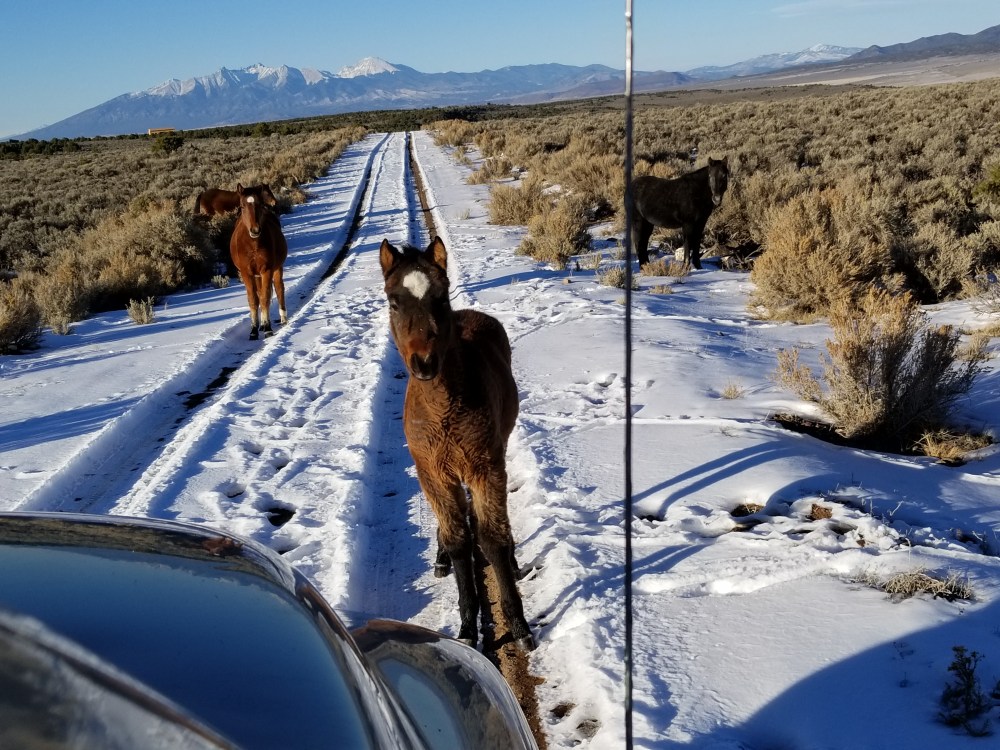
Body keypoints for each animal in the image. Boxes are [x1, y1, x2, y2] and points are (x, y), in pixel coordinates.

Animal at [230, 184, 288, 340]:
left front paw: (267, 328)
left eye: (260, 204)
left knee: (279, 288)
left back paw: (283, 318)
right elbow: (254, 300)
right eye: (242, 206)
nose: (255, 230)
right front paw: (254, 330)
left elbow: (265, 297)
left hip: (277, 268)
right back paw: (260, 325)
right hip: (256, 275)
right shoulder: (247, 273)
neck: (253, 245)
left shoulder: (266, 270)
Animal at [379, 236, 534, 653]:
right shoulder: (433, 473)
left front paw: (519, 625)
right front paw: (467, 628)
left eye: (440, 297)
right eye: (394, 301)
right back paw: (440, 557)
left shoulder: (485, 466)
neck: (445, 411)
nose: (424, 362)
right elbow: (459, 542)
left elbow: (491, 539)